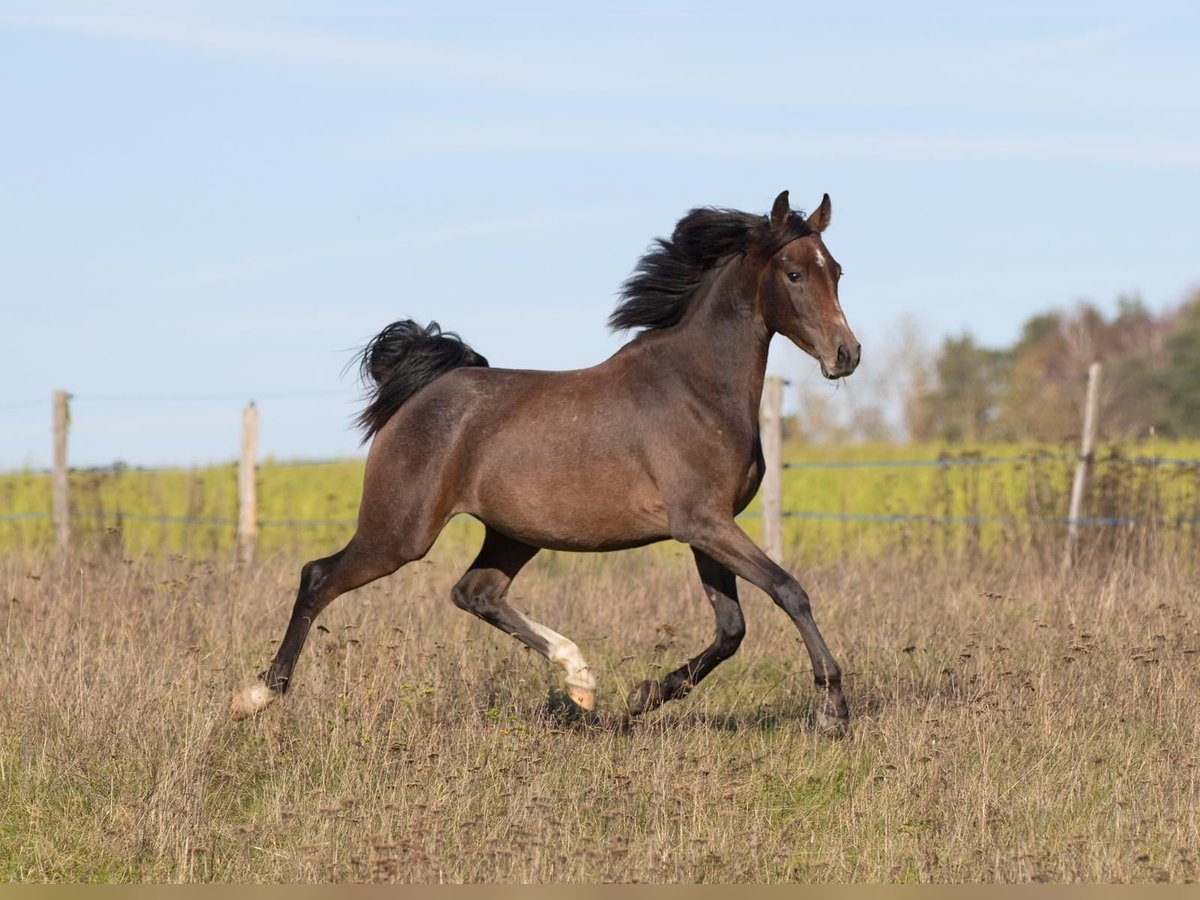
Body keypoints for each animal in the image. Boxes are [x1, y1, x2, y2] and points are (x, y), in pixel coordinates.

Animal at [229, 188, 859, 734]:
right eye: (794, 273)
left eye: (836, 271)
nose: (846, 354)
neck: (697, 389)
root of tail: (419, 396)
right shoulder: (703, 522)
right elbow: (789, 590)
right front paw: (833, 708)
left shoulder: (708, 526)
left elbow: (731, 628)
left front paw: (645, 695)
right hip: (400, 533)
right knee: (319, 577)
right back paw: (258, 694)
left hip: (512, 532)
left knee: (475, 592)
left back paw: (582, 681)